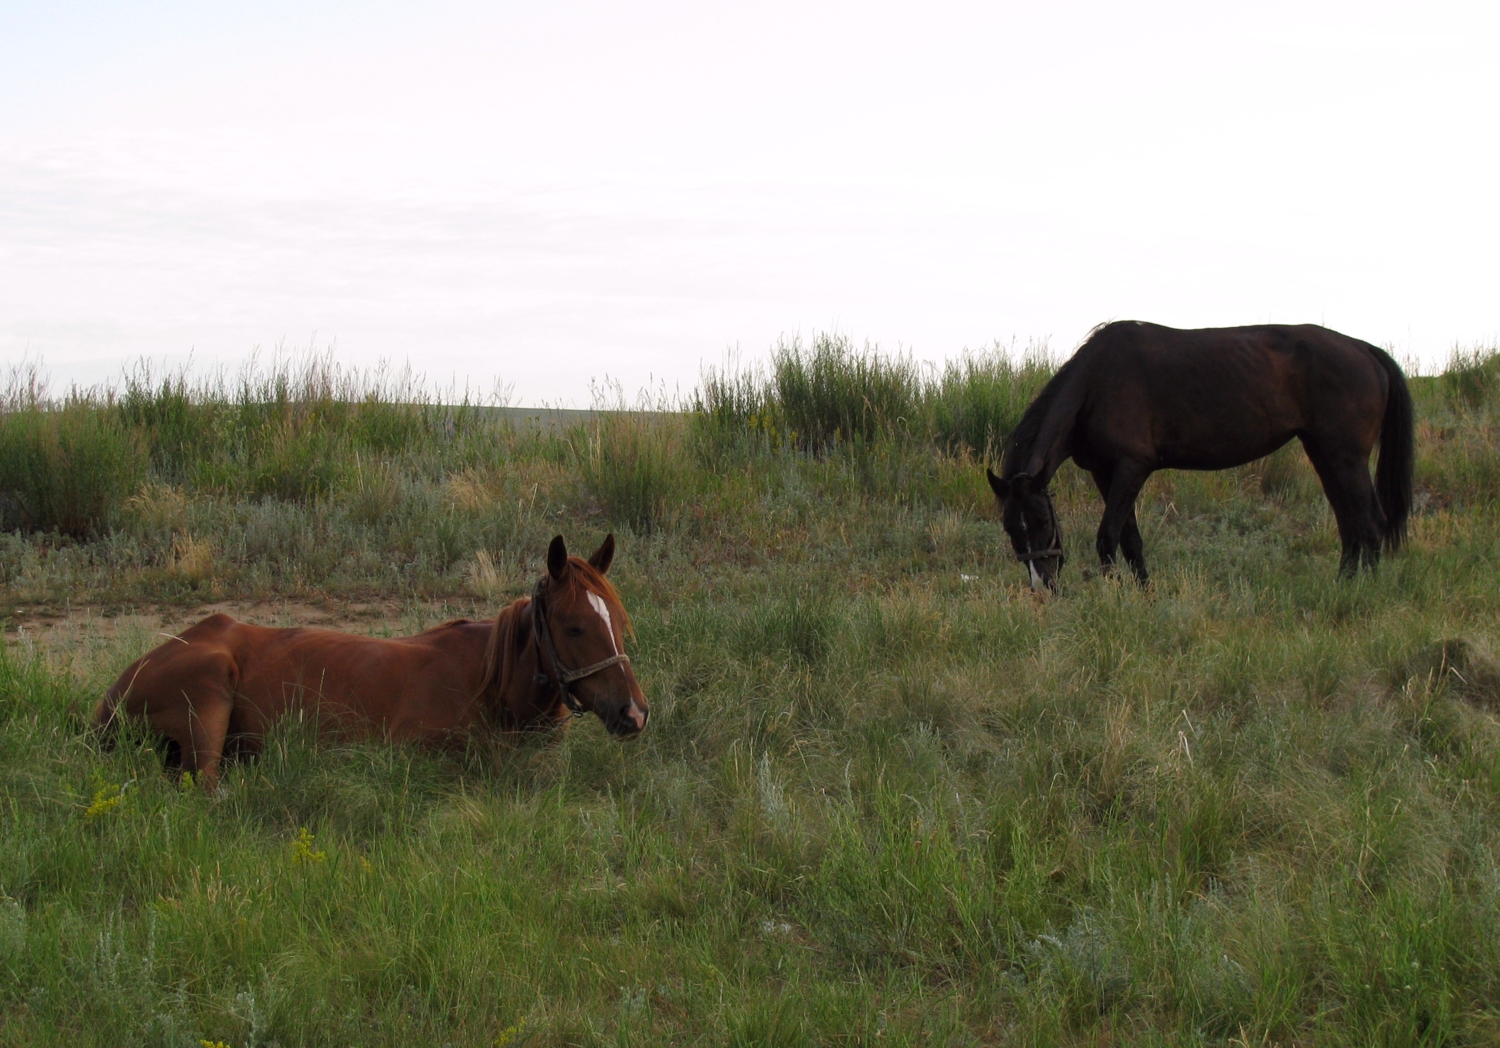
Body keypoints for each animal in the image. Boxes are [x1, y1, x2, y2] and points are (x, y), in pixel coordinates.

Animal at [990, 319, 1410, 590]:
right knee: (1349, 523)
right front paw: (1145, 596)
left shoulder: (1131, 468)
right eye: (1010, 527)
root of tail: (1365, 350)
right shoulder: (1105, 473)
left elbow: (1108, 537)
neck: (1097, 383)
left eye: (1044, 520)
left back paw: (1361, 595)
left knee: (1369, 522)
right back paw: (1344, 584)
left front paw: (1111, 600)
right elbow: (1131, 540)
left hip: (1346, 458)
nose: (1042, 584)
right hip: (1324, 453)